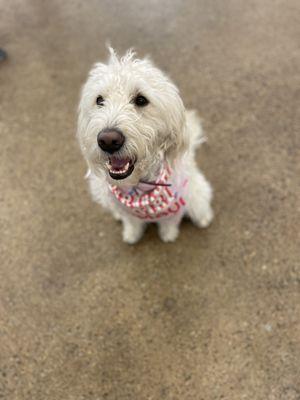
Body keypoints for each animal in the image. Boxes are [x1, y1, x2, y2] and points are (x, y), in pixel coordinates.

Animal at [77, 48, 213, 242]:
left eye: (141, 100)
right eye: (99, 100)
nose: (108, 141)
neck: (138, 186)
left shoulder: (174, 206)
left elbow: (169, 222)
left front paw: (168, 235)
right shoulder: (125, 209)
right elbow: (131, 221)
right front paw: (132, 235)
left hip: (196, 192)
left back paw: (204, 218)